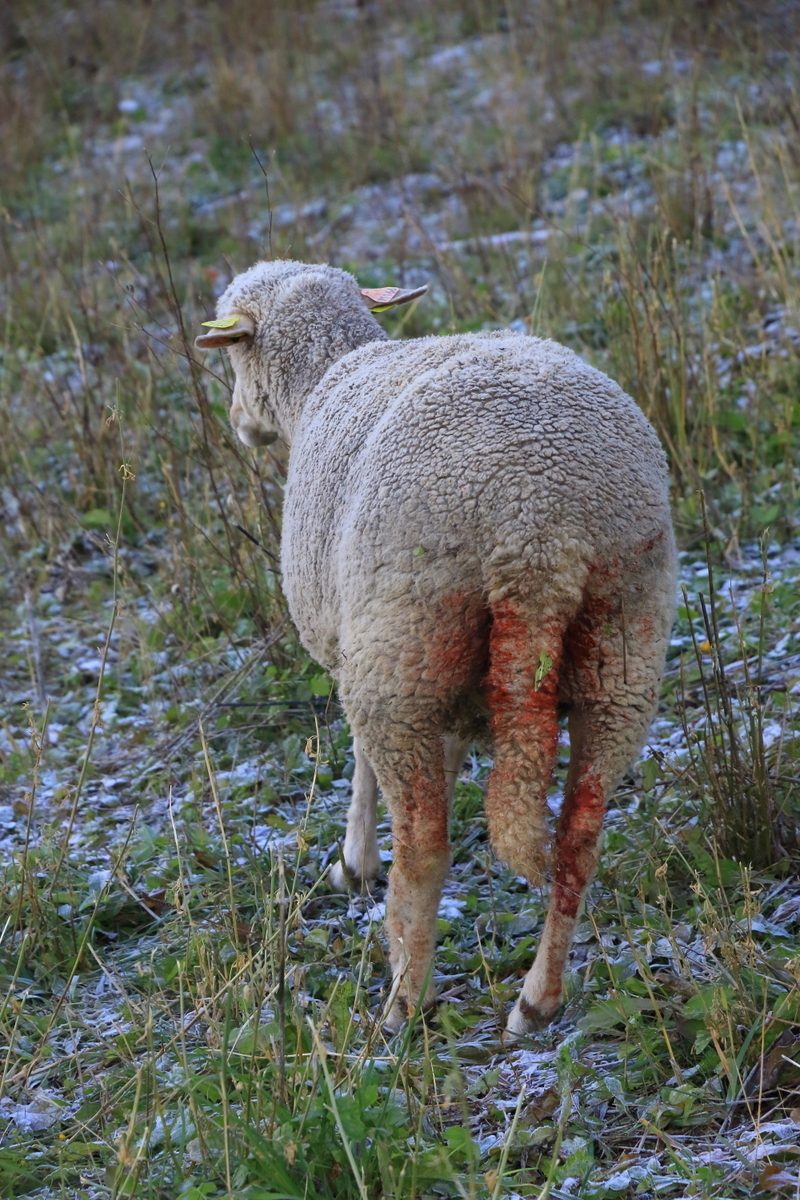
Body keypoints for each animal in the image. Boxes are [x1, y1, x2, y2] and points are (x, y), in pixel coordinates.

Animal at [195, 259, 676, 1036]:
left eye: (234, 353)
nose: (240, 425)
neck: (328, 373)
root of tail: (538, 523)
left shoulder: (353, 638)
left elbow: (361, 763)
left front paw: (354, 861)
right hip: (621, 643)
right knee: (578, 835)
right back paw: (536, 999)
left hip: (404, 641)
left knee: (424, 845)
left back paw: (402, 1000)